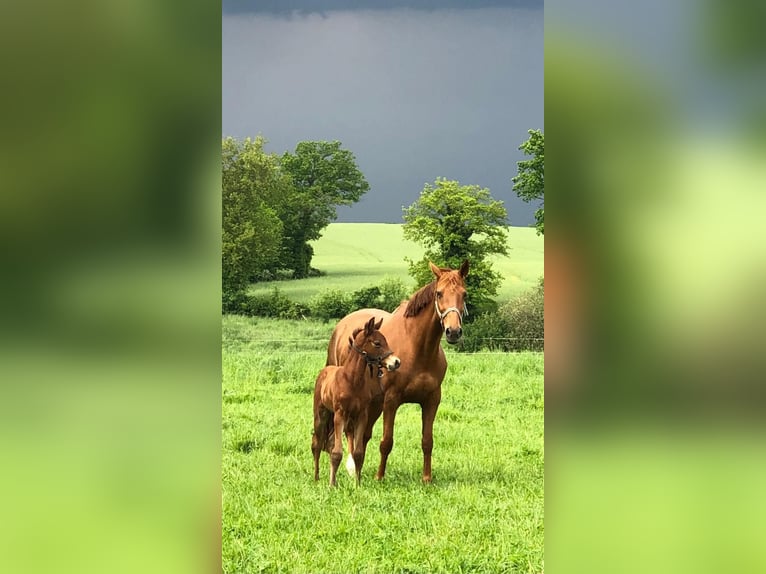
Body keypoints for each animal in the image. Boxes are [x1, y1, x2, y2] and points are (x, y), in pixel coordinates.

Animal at [312, 318, 402, 488]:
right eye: (377, 343)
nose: (396, 362)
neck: (352, 380)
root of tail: (325, 370)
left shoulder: (361, 416)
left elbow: (358, 453)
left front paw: (357, 484)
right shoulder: (340, 415)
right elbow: (336, 452)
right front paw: (332, 485)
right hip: (321, 414)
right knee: (317, 444)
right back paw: (316, 478)